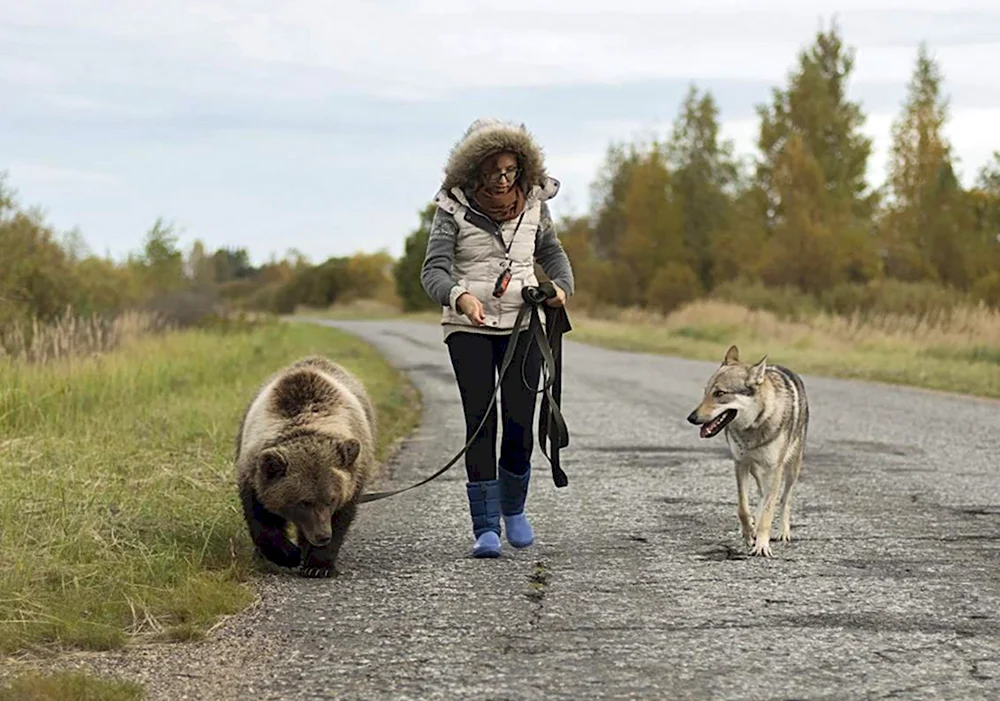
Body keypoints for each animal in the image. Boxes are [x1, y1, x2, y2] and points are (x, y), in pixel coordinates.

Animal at [234, 352, 378, 576]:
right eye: (304, 502)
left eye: (331, 499)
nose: (322, 536)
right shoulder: (253, 473)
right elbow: (260, 519)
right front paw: (289, 555)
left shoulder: (353, 477)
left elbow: (341, 519)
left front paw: (318, 566)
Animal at [684, 346, 808, 556]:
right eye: (705, 392)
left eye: (720, 393)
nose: (691, 418)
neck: (753, 426)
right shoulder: (740, 463)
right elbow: (742, 508)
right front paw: (749, 533)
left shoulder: (775, 469)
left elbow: (769, 511)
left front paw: (762, 546)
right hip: (756, 470)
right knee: (761, 494)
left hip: (791, 470)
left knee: (784, 500)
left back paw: (783, 532)